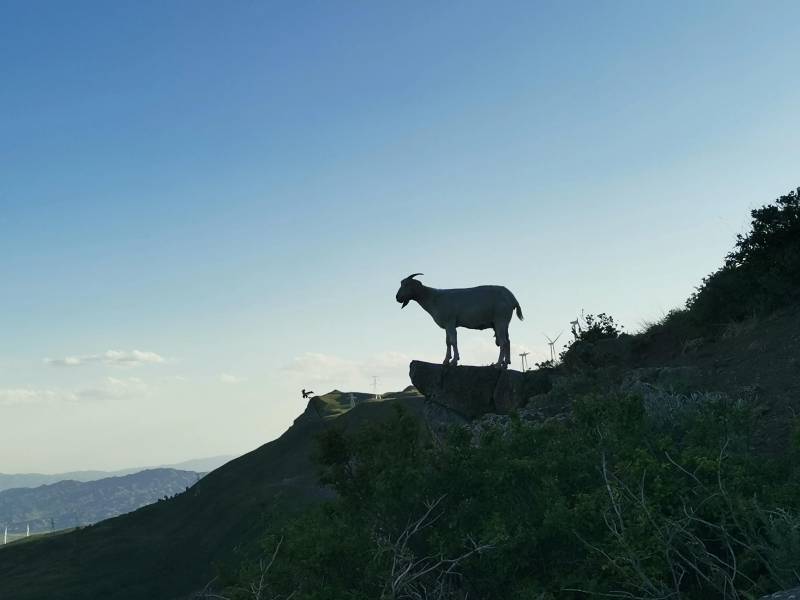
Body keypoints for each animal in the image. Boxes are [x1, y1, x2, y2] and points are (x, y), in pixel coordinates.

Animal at [396, 274, 524, 368]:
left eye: (406, 284)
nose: (397, 297)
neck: (433, 298)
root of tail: (512, 298)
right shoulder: (447, 324)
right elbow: (447, 342)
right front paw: (446, 360)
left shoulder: (450, 322)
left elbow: (453, 341)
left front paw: (454, 361)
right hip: (504, 323)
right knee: (508, 340)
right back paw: (505, 363)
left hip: (500, 320)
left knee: (503, 342)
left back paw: (497, 364)